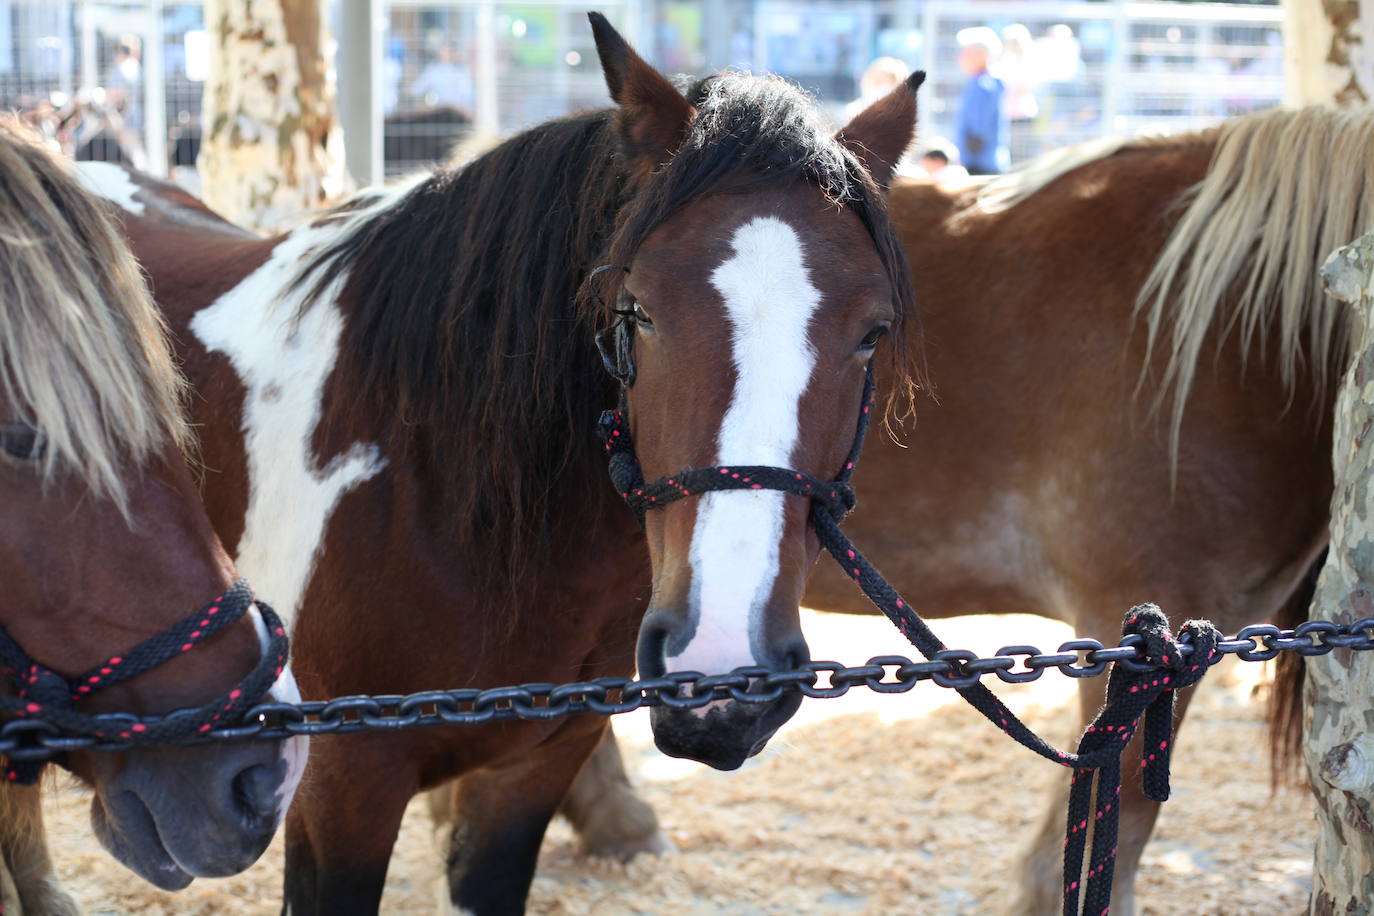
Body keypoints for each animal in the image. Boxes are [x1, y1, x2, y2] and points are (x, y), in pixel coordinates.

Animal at [80, 16, 928, 916]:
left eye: (872, 332)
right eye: (638, 310)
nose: (723, 667)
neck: (438, 489)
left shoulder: (532, 772)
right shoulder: (339, 787)